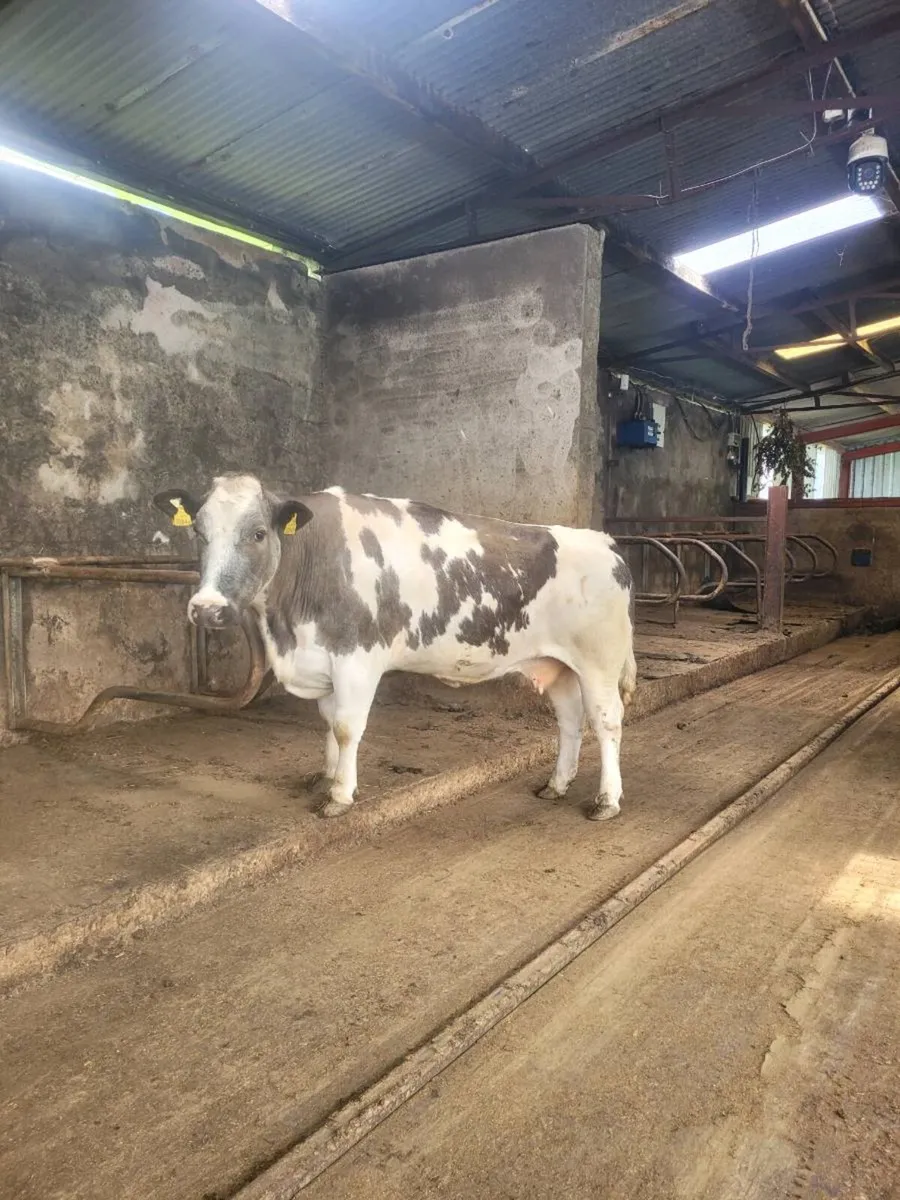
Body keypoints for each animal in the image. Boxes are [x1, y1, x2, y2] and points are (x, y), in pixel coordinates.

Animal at [153, 475, 637, 821]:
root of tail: (604, 543)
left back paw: (607, 800)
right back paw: (556, 785)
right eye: (199, 532)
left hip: (598, 660)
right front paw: (326, 776)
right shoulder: (324, 660)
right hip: (558, 664)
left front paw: (340, 795)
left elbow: (346, 727)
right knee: (570, 721)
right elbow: (328, 723)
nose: (207, 609)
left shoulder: (356, 658)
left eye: (257, 533)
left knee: (607, 721)